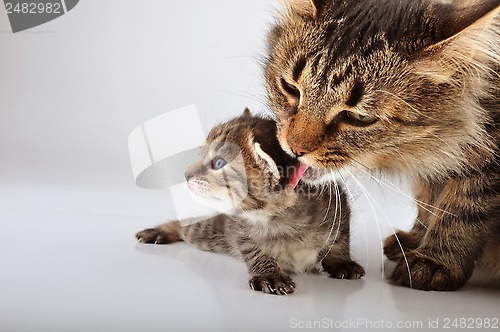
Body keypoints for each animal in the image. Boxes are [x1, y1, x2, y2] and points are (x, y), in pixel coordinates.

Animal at [137, 109, 364, 296]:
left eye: (218, 163)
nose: (186, 174)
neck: (281, 219)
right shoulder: (240, 229)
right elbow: (252, 248)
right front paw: (269, 274)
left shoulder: (338, 204)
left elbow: (340, 239)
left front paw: (342, 261)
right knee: (186, 226)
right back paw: (159, 231)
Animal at [264, 0, 498, 290]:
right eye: (291, 88)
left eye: (359, 118)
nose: (295, 147)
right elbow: (429, 200)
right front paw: (415, 240)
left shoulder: (485, 162)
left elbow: (462, 209)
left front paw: (434, 262)